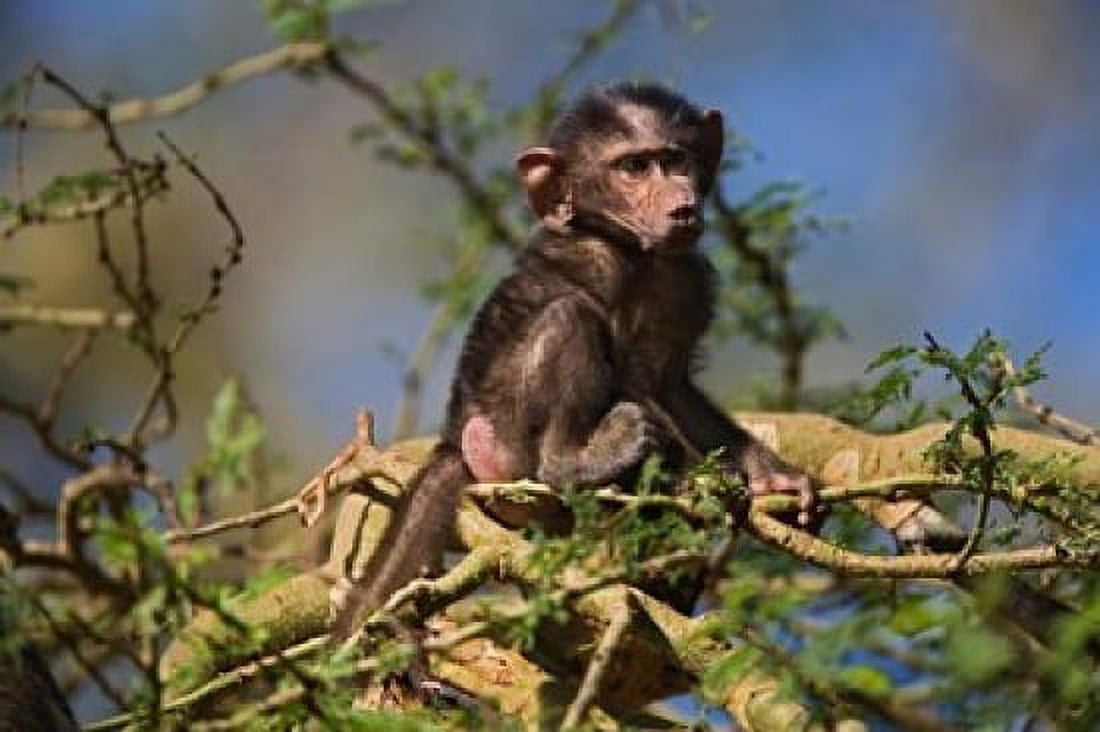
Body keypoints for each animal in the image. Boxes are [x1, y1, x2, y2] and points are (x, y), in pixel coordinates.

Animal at [332, 81, 815, 638]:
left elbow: (671, 385)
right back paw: (574, 463)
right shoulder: (598, 264)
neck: (630, 249)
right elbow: (630, 375)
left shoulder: (687, 279)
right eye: (633, 167)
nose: (681, 202)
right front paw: (704, 482)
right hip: (505, 440)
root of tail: (454, 443)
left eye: (676, 160)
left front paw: (769, 476)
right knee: (570, 317)